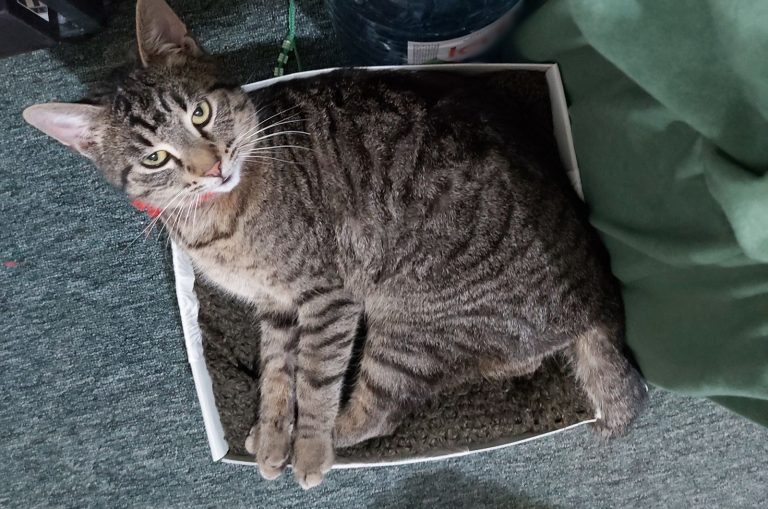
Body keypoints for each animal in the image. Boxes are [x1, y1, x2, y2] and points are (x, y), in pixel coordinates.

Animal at [24, 0, 644, 488]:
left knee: (382, 412)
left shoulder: (326, 297)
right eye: (155, 157)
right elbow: (278, 372)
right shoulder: (276, 305)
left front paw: (307, 445)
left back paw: (339, 434)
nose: (213, 167)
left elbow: (314, 379)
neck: (215, 222)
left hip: (409, 324)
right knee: (512, 363)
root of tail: (596, 301)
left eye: (200, 113)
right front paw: (274, 432)